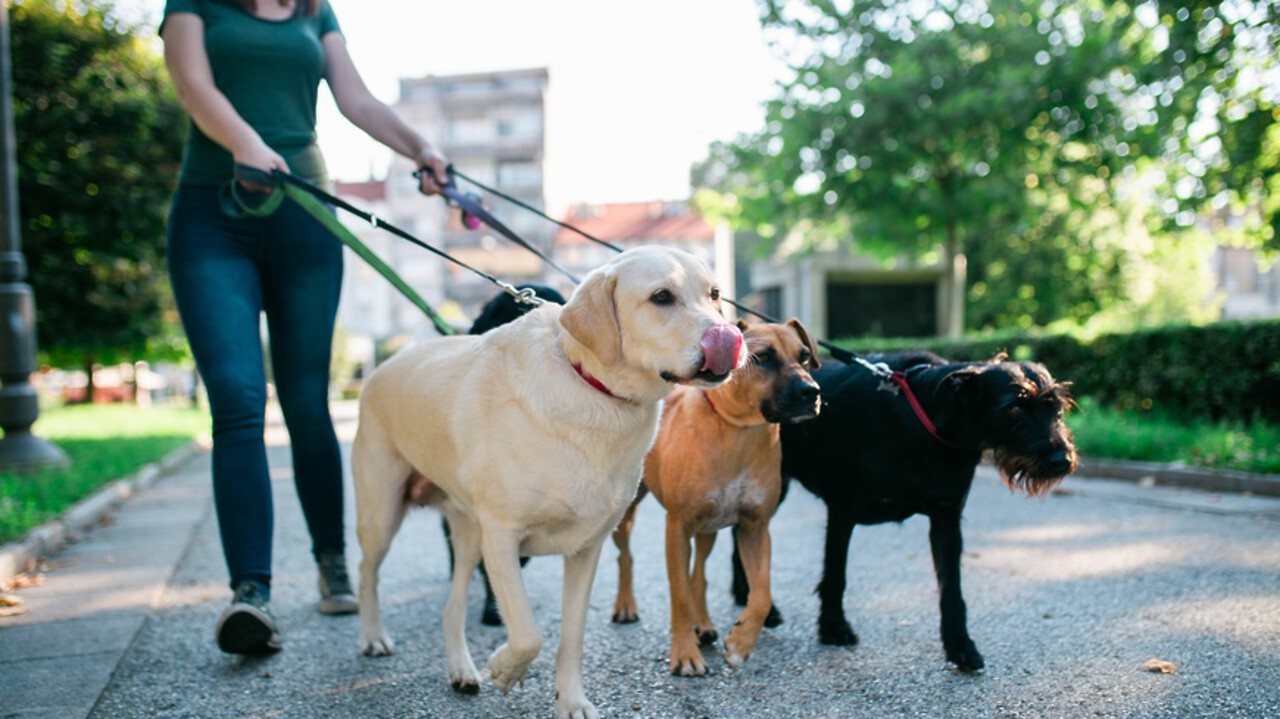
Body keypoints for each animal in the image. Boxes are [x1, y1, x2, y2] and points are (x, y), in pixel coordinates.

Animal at [609, 317, 819, 670]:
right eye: (763, 358)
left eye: (804, 356)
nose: (812, 391)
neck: (738, 431)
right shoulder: (677, 527)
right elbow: (679, 594)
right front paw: (684, 654)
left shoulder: (755, 527)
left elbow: (761, 593)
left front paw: (741, 642)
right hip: (627, 515)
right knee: (627, 556)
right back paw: (626, 605)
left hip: (708, 528)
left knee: (700, 574)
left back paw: (703, 624)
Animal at [732, 350, 1080, 670]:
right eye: (1015, 407)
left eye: (1056, 407)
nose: (1062, 460)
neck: (923, 423)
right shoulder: (842, 511)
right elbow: (835, 575)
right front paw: (833, 627)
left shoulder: (946, 520)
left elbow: (952, 590)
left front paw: (960, 646)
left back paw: (744, 596)